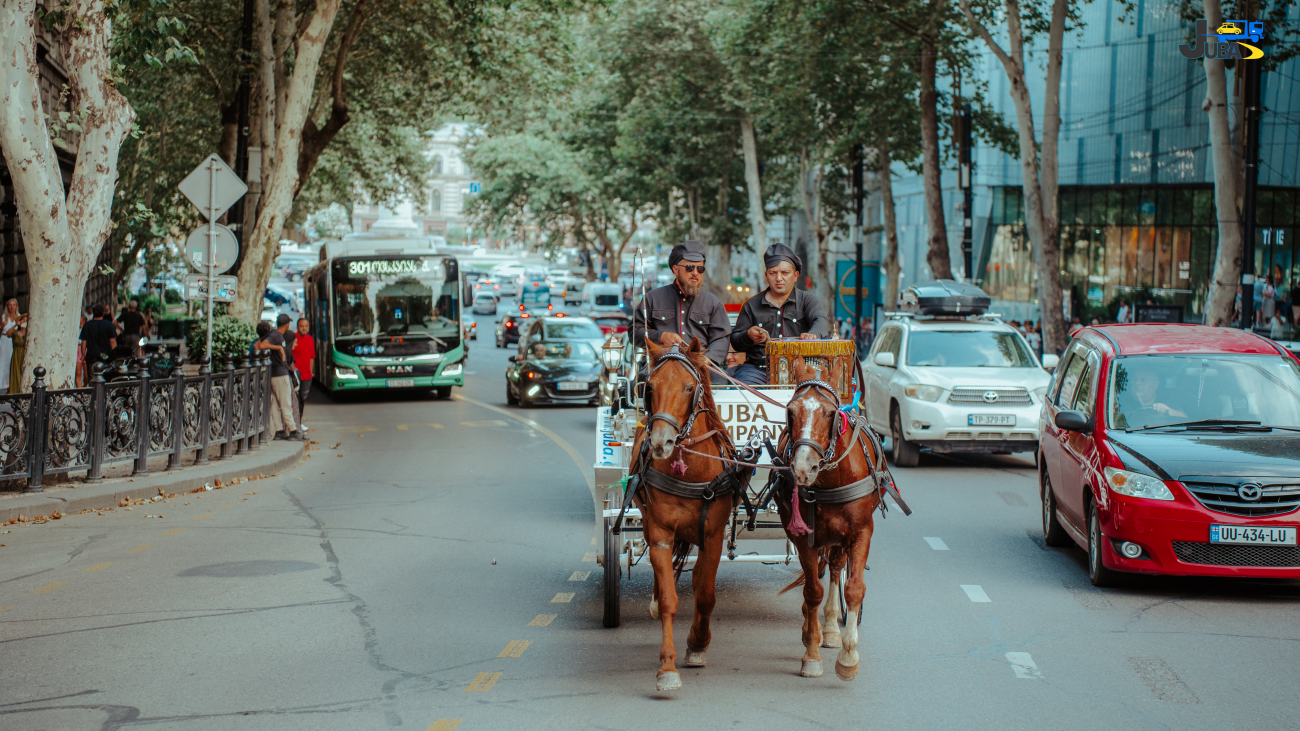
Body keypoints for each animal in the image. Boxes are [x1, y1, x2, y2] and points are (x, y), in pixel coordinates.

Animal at [629, 335, 743, 686]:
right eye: (649, 387)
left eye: (689, 387)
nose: (661, 442)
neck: (690, 469)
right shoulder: (661, 534)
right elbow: (669, 598)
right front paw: (667, 668)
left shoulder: (714, 535)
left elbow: (705, 593)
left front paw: (697, 644)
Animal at [774, 356, 889, 681]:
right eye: (790, 411)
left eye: (830, 413)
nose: (803, 468)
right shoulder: (803, 536)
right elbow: (812, 590)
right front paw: (811, 655)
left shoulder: (861, 531)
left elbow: (854, 589)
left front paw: (848, 656)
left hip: (840, 536)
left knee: (837, 567)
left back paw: (830, 628)